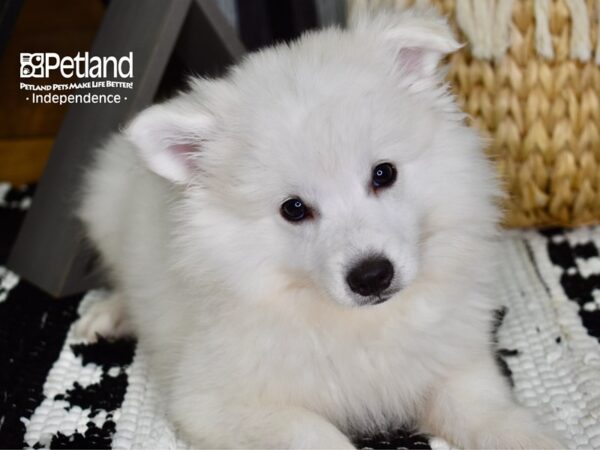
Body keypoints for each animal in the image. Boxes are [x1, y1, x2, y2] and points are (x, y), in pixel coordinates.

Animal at [75, 7, 564, 450]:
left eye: (384, 174)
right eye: (294, 209)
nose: (372, 276)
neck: (355, 323)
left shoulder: (453, 363)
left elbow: (487, 412)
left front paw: (535, 440)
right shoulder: (217, 401)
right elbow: (314, 435)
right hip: (105, 209)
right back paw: (109, 315)